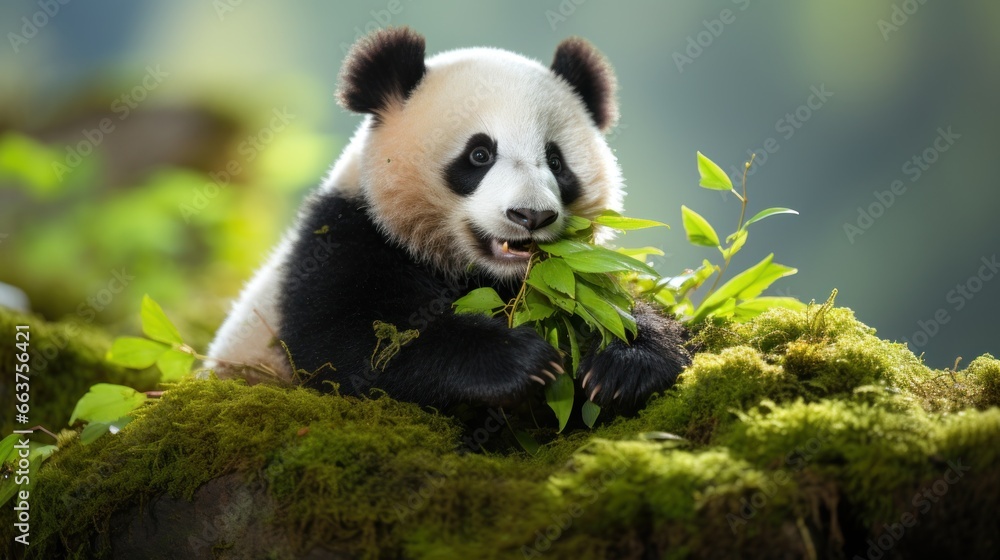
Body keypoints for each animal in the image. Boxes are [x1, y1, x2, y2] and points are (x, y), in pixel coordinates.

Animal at [207, 28, 692, 416]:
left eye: (556, 162)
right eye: (479, 154)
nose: (531, 215)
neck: (485, 274)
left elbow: (608, 305)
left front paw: (621, 366)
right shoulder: (344, 238)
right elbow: (350, 347)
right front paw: (520, 361)